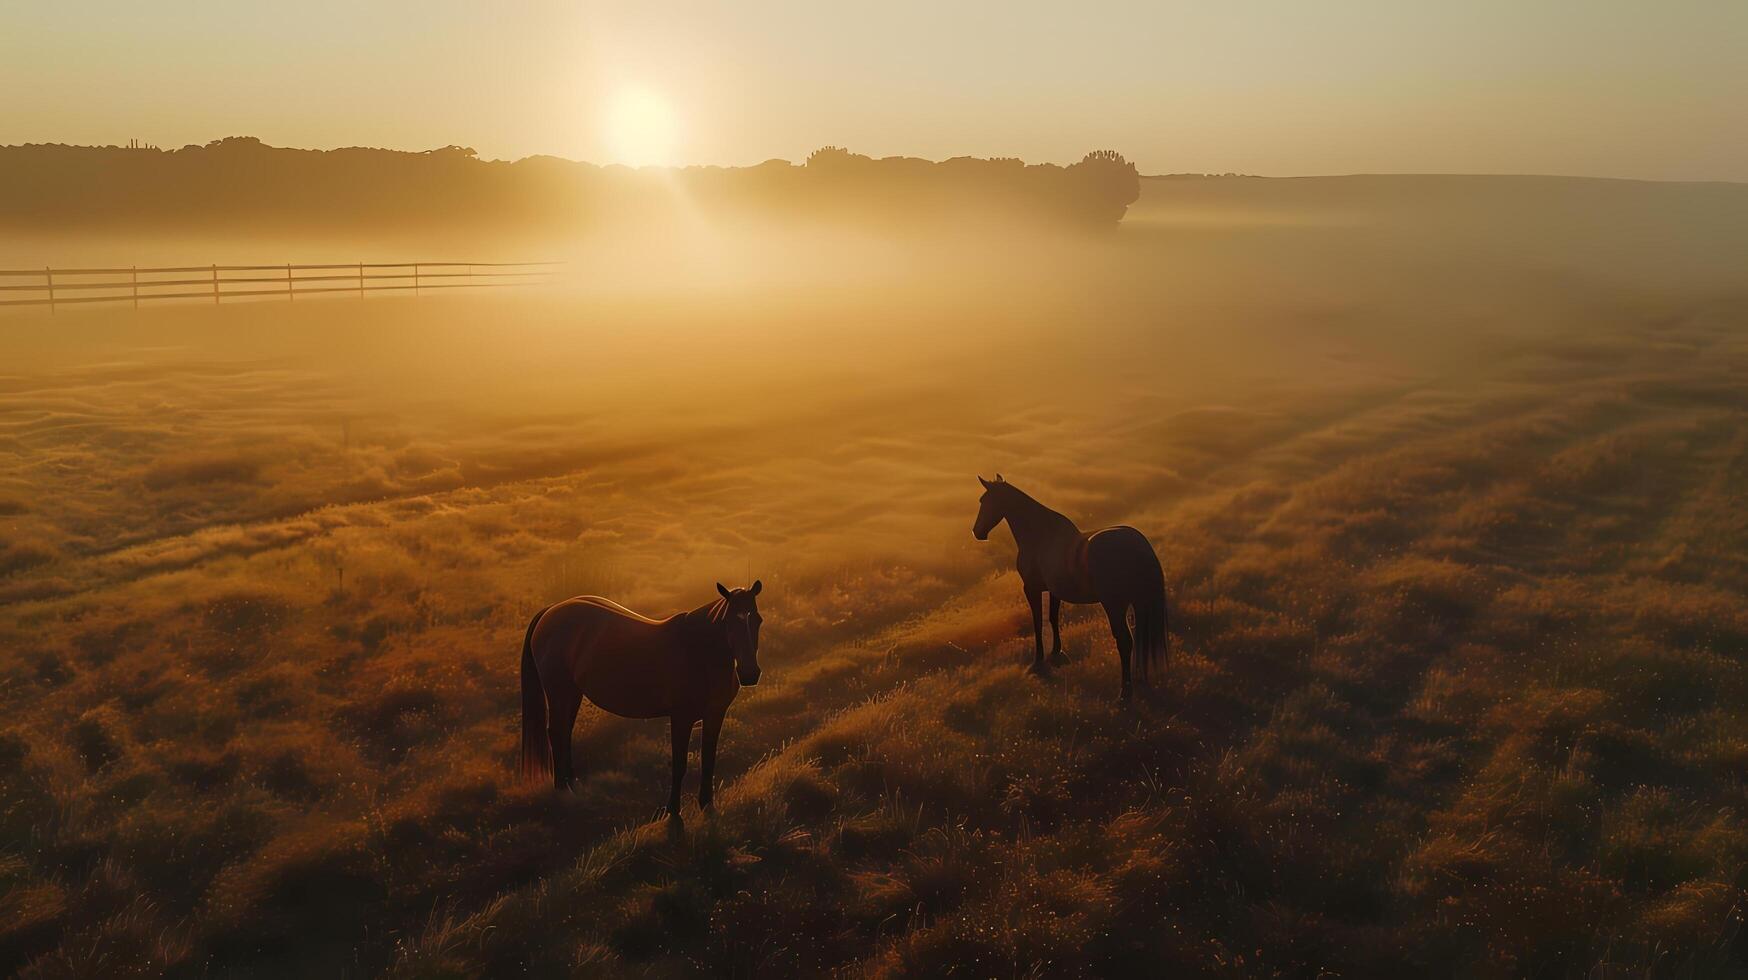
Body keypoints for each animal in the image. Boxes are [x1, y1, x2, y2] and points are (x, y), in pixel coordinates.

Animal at [517, 579, 765, 817]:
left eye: (758, 620)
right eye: (728, 621)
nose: (749, 674)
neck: (698, 654)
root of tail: (551, 611)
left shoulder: (715, 715)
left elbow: (709, 760)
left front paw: (706, 804)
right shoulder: (681, 718)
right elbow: (679, 764)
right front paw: (673, 810)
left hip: (572, 692)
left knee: (565, 732)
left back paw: (572, 783)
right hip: (558, 692)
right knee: (556, 732)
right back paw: (563, 790)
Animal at [978, 471, 1167, 695]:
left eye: (984, 501)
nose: (977, 532)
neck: (1041, 536)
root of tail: (1140, 546)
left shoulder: (1031, 589)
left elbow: (1037, 622)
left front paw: (1038, 662)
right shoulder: (1053, 591)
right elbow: (1053, 618)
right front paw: (1057, 653)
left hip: (1115, 605)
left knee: (1124, 641)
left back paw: (1124, 694)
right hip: (1136, 603)